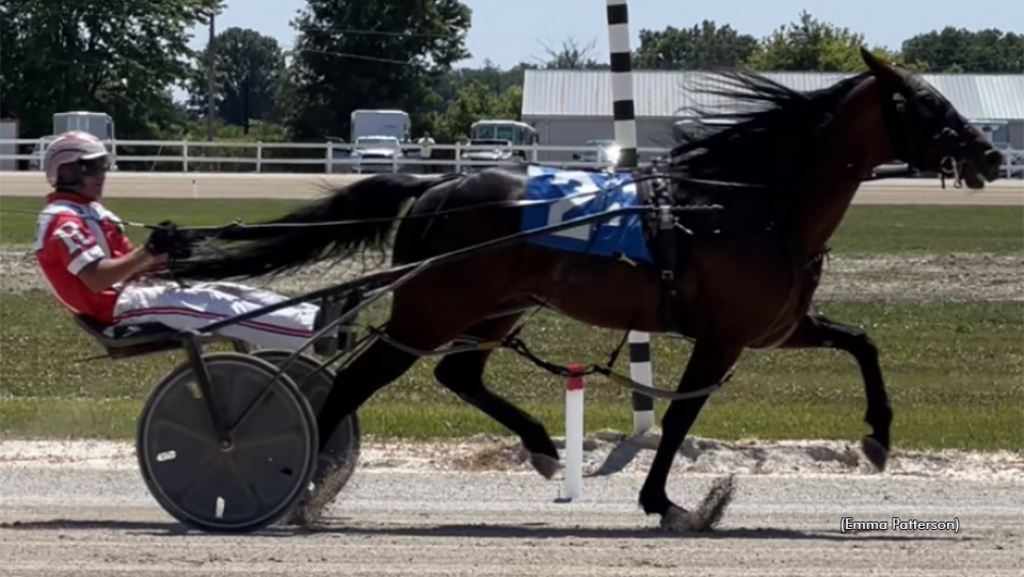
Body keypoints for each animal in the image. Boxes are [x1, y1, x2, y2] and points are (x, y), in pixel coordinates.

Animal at [165, 50, 999, 532]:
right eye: (929, 105)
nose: (991, 153)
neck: (749, 203)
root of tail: (435, 186)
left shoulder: (775, 326)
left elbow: (863, 343)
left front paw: (879, 435)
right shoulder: (723, 335)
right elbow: (678, 420)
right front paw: (669, 502)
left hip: (489, 309)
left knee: (456, 374)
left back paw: (538, 446)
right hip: (431, 309)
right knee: (352, 383)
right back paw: (301, 490)